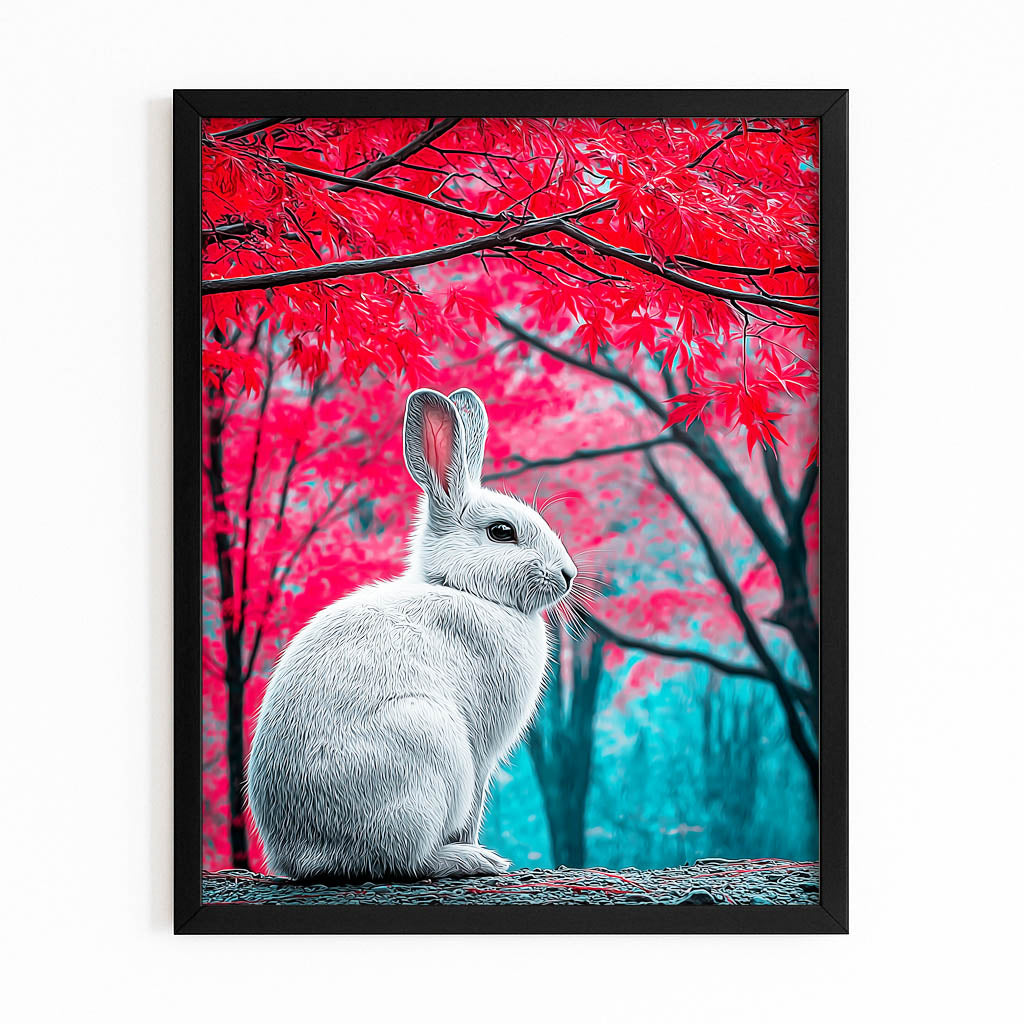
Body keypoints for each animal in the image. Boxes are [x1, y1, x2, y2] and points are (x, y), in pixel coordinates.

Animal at [247, 387, 578, 880]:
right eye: (502, 532)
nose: (567, 575)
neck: (464, 588)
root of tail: (305, 856)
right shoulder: (480, 754)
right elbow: (474, 807)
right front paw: (475, 846)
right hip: (429, 749)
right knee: (406, 858)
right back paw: (473, 859)